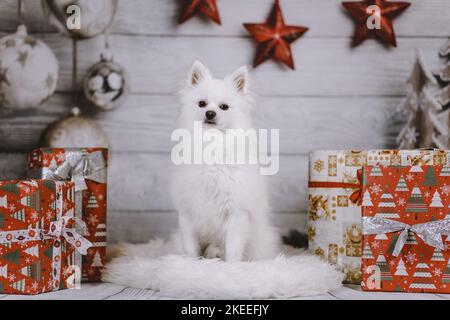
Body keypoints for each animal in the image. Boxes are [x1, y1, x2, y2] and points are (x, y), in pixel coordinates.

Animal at [170, 61, 282, 262]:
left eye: (224, 107)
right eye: (202, 104)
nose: (210, 113)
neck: (212, 143)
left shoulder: (236, 213)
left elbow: (233, 248)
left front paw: (231, 266)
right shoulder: (187, 212)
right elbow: (190, 247)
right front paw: (191, 264)